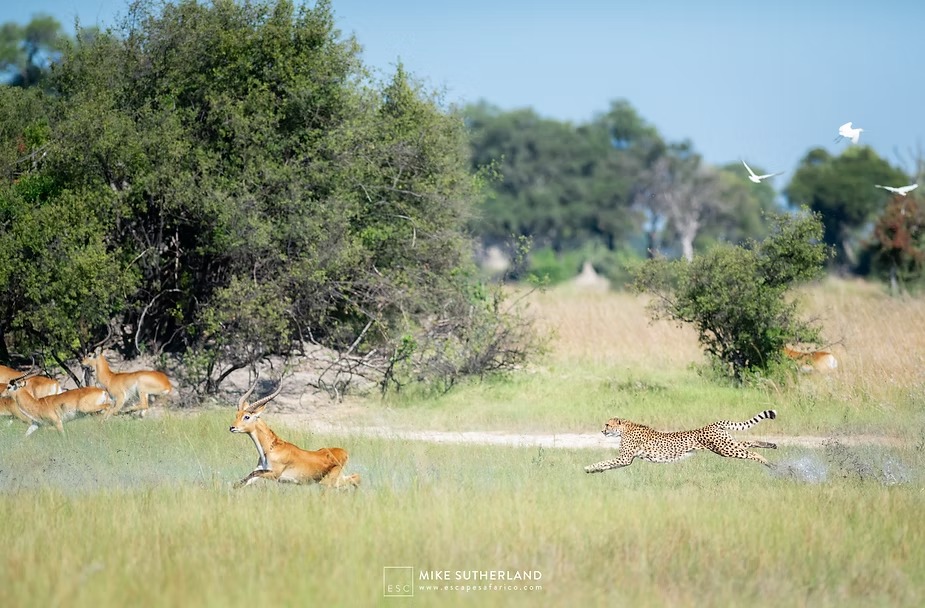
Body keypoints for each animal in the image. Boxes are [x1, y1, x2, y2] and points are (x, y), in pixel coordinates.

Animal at [229, 375, 361, 489]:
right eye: (237, 415)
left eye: (247, 416)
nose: (232, 427)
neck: (270, 449)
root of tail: (344, 452)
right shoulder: (260, 469)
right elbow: (244, 480)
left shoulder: (274, 474)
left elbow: (253, 474)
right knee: (356, 477)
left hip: (328, 482)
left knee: (356, 478)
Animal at [584, 409, 778, 473]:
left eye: (607, 424)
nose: (602, 431)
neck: (625, 428)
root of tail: (712, 424)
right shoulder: (625, 460)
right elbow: (609, 464)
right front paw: (595, 471)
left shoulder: (625, 458)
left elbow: (605, 461)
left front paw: (589, 467)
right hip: (726, 445)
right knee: (749, 442)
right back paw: (772, 446)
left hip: (724, 449)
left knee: (751, 452)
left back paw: (770, 464)